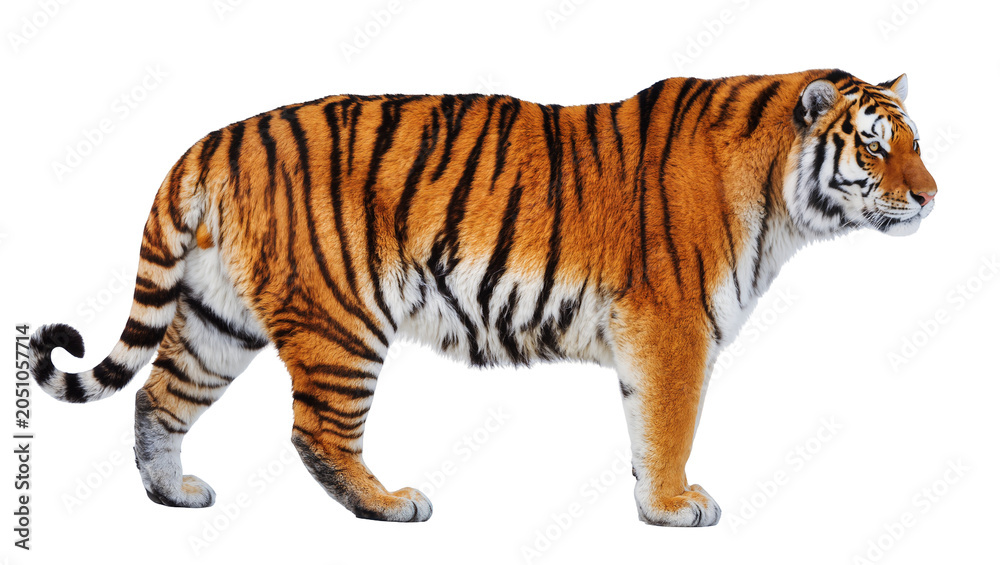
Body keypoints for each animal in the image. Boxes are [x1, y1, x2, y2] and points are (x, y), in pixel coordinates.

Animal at [29, 68, 936, 527]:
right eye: (874, 147)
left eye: (916, 143)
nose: (932, 195)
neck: (782, 202)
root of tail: (213, 139)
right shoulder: (673, 324)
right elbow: (671, 422)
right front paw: (675, 506)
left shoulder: (653, 335)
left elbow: (647, 425)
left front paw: (656, 496)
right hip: (342, 320)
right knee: (316, 429)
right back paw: (389, 504)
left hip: (223, 317)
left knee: (157, 394)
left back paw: (171, 494)